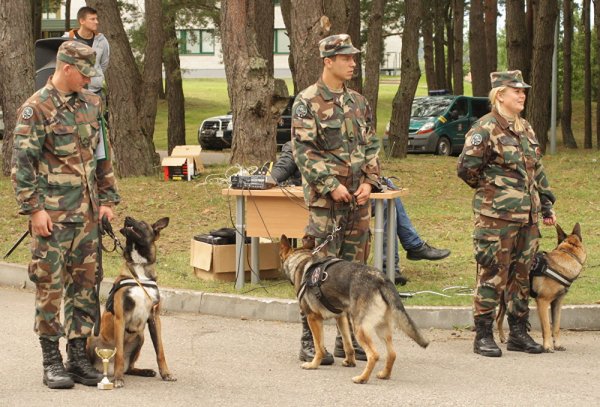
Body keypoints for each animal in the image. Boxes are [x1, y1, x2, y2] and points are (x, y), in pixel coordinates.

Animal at [86, 217, 176, 388]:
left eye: (142, 223)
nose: (127, 217)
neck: (139, 266)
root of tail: (105, 368)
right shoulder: (120, 318)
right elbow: (120, 354)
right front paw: (118, 379)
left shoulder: (154, 318)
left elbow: (160, 351)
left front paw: (166, 373)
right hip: (92, 338)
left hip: (140, 337)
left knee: (130, 368)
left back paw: (144, 371)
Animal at [278, 236, 428, 386]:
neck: (301, 260)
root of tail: (381, 279)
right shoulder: (341, 317)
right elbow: (347, 344)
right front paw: (350, 362)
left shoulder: (313, 318)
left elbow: (319, 346)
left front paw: (313, 364)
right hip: (381, 328)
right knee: (392, 354)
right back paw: (384, 374)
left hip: (360, 329)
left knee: (374, 355)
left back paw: (362, 378)